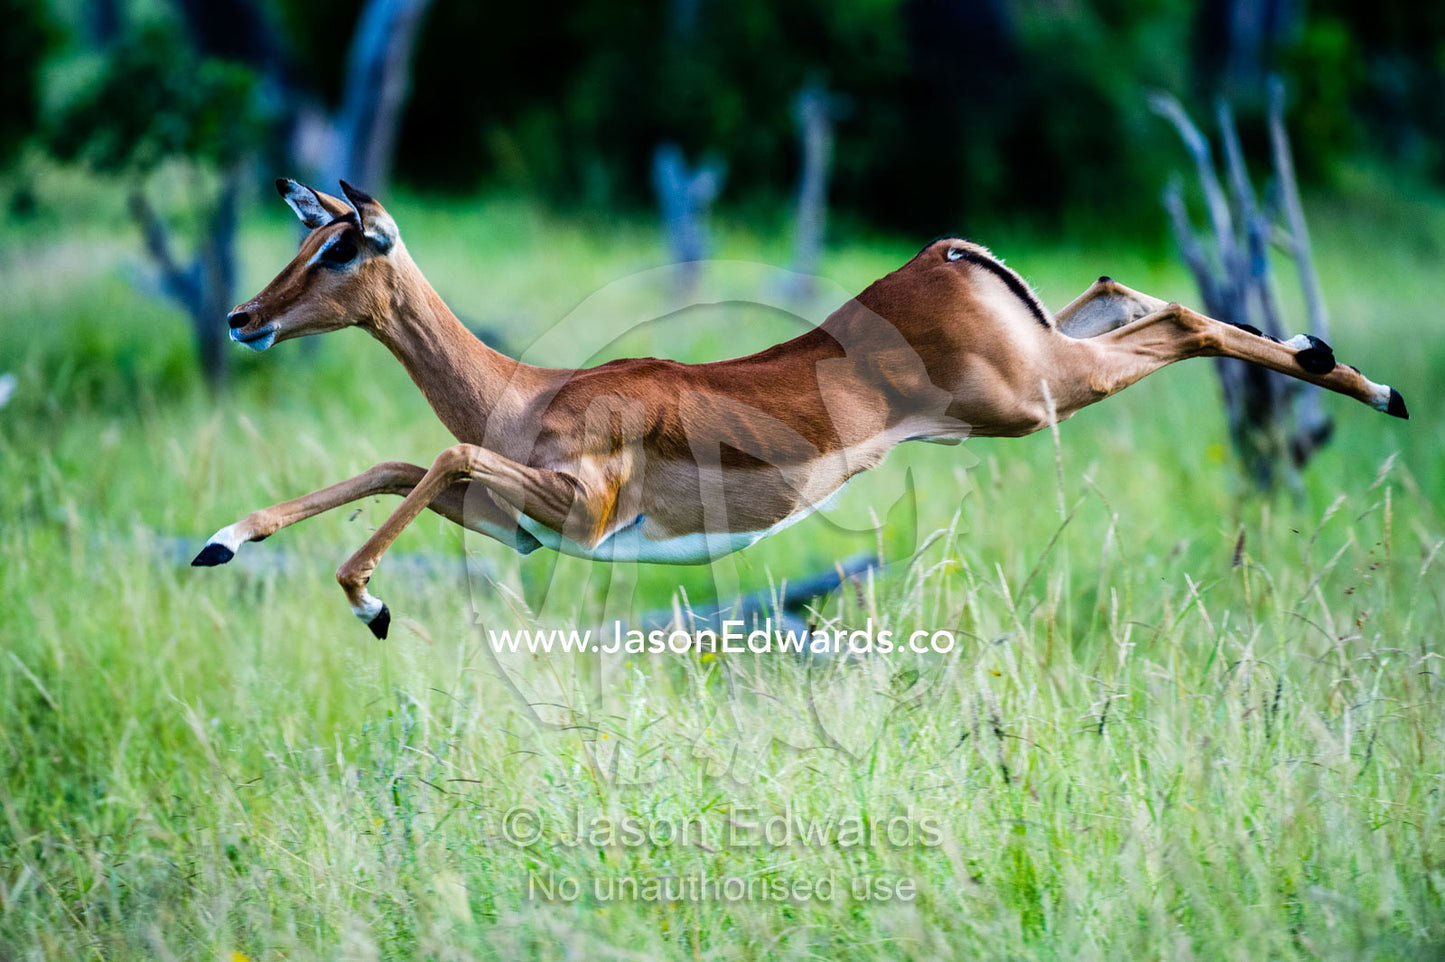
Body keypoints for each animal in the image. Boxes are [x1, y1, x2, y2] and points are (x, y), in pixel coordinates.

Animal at [195, 179, 1409, 638]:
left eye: (343, 245)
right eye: (306, 237)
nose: (244, 316)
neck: (523, 393)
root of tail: (942, 254)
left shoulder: (579, 511)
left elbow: (432, 456)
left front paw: (368, 604)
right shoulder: (525, 524)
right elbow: (395, 465)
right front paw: (221, 540)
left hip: (1032, 397)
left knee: (1188, 322)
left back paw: (1378, 385)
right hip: (1046, 365)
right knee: (1129, 291)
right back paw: (1351, 369)